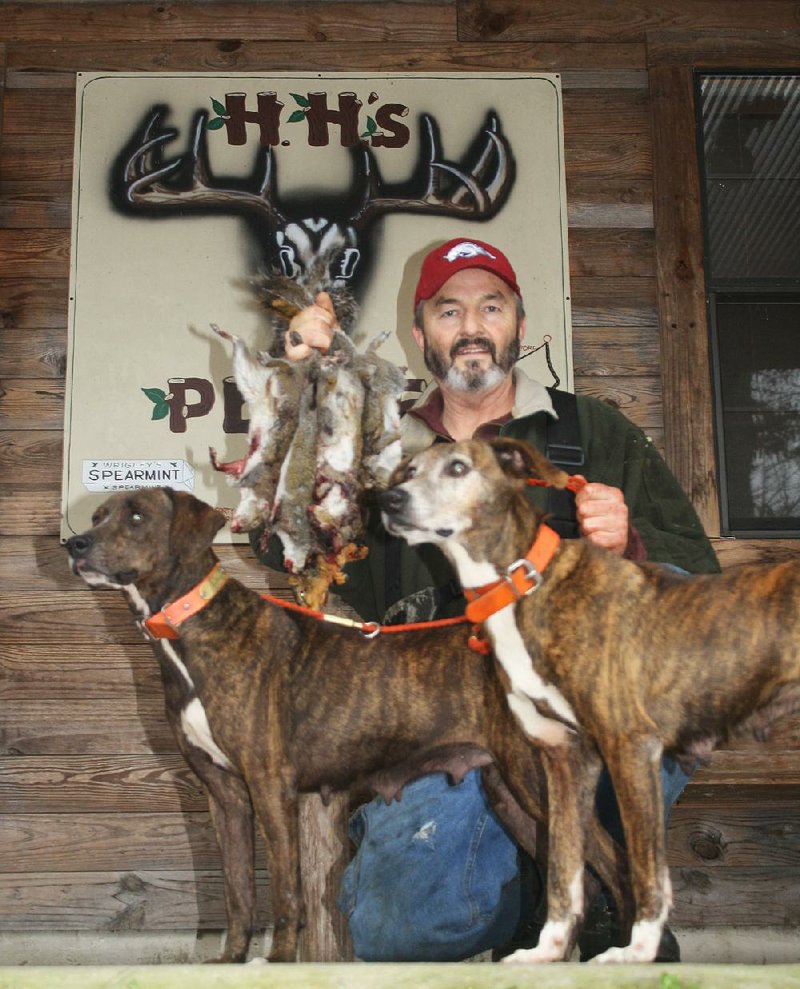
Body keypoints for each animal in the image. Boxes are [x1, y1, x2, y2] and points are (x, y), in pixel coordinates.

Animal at [65, 490, 620, 960]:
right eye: (97, 515)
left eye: (137, 516)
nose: (75, 544)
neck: (188, 629)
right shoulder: (222, 794)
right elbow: (237, 895)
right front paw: (232, 961)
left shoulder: (270, 786)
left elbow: (286, 894)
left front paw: (278, 961)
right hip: (512, 795)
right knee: (579, 880)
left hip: (536, 783)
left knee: (613, 863)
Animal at [380, 436, 800, 960]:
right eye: (407, 471)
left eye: (458, 468)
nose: (388, 501)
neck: (521, 580)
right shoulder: (564, 758)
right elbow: (565, 869)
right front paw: (548, 951)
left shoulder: (630, 747)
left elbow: (644, 870)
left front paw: (636, 953)